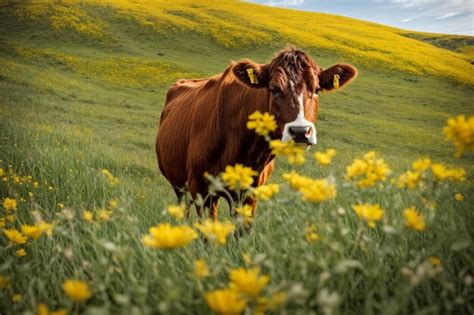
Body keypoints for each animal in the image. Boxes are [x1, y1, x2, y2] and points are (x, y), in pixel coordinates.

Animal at [157, 46, 358, 220]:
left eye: (316, 89)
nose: (300, 131)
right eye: (274, 88)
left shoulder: (250, 194)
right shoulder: (201, 189)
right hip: (179, 185)